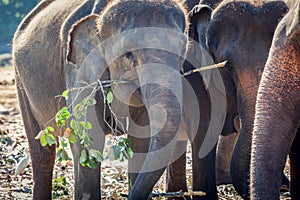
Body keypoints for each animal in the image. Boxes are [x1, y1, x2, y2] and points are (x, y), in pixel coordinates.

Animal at [12, 0, 190, 199]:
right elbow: (89, 138)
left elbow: (141, 140)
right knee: (42, 152)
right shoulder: (78, 70)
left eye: (183, 49)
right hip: (21, 83)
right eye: (128, 55)